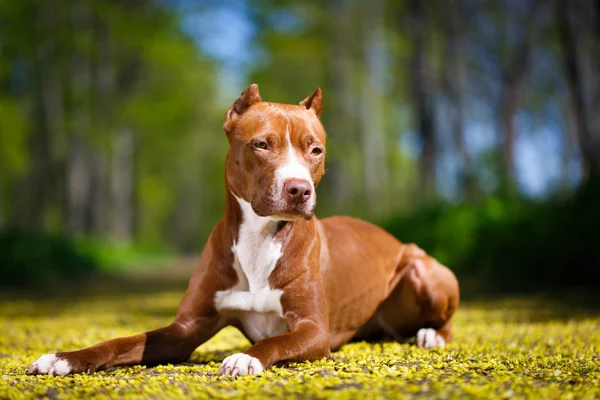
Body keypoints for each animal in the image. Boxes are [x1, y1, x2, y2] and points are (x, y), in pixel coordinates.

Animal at [28, 84, 460, 378]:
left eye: (315, 149)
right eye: (261, 144)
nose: (299, 189)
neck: (260, 236)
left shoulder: (313, 330)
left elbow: (276, 339)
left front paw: (245, 357)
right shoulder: (183, 330)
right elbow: (124, 342)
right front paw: (63, 359)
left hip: (425, 271)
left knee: (445, 321)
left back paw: (430, 335)